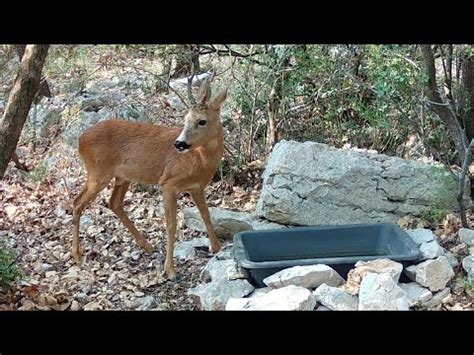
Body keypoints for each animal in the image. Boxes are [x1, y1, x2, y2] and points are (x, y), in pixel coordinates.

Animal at [71, 78, 229, 280]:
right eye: (185, 119)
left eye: (202, 121)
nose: (179, 143)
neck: (199, 160)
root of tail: (80, 140)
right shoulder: (168, 183)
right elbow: (171, 224)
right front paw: (170, 270)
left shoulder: (196, 187)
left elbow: (206, 215)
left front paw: (216, 248)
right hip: (99, 173)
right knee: (77, 202)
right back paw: (77, 255)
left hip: (122, 177)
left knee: (113, 203)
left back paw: (146, 245)